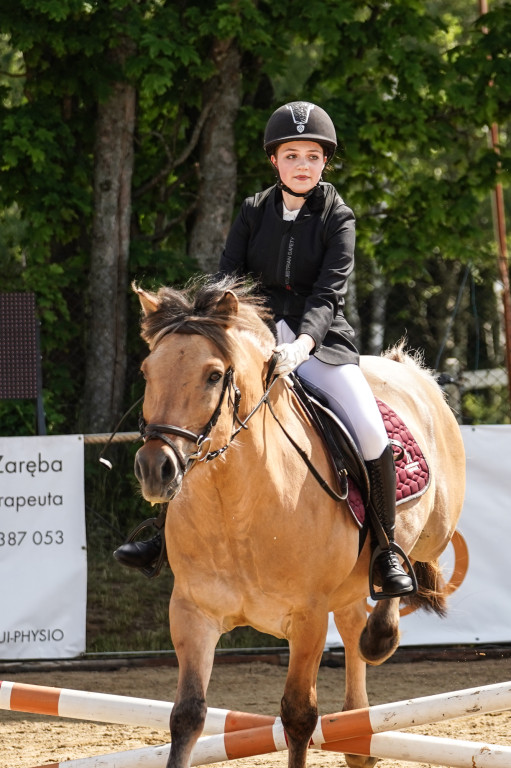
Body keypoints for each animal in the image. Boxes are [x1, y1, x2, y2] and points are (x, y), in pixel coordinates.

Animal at [133, 276, 468, 768]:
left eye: (213, 375)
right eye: (146, 372)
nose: (156, 469)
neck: (236, 509)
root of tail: (407, 370)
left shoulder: (307, 618)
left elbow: (298, 715)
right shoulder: (192, 612)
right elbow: (187, 715)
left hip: (436, 529)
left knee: (405, 563)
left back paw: (383, 623)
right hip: (344, 590)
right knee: (352, 622)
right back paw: (358, 735)